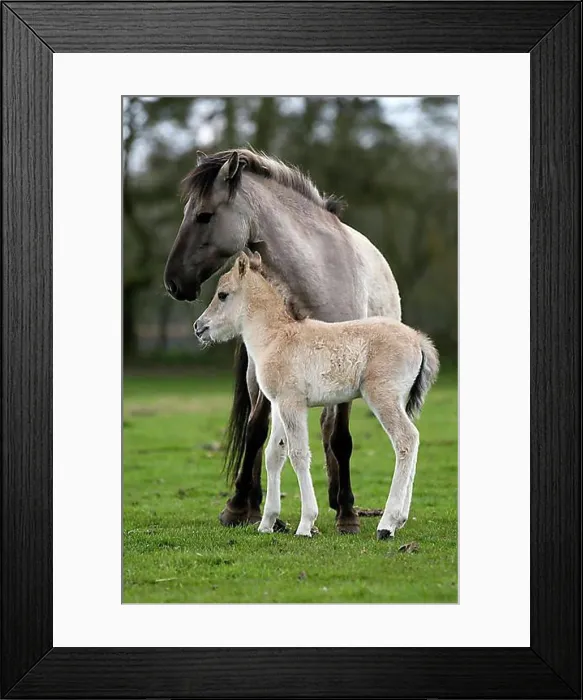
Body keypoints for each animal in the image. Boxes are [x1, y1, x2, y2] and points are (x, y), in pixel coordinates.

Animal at [164, 148, 401, 534]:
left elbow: (341, 439)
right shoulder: (270, 373)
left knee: (329, 431)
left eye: (204, 216)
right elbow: (256, 432)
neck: (314, 276)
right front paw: (239, 507)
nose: (173, 282)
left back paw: (339, 499)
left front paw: (348, 515)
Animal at [194, 252, 439, 538]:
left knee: (405, 440)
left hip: (382, 397)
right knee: (414, 440)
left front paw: (306, 523)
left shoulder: (293, 404)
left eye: (222, 295)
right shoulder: (278, 405)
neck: (276, 337)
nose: (199, 327)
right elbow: (274, 455)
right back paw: (399, 520)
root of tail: (418, 339)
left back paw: (387, 524)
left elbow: (299, 455)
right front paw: (267, 523)